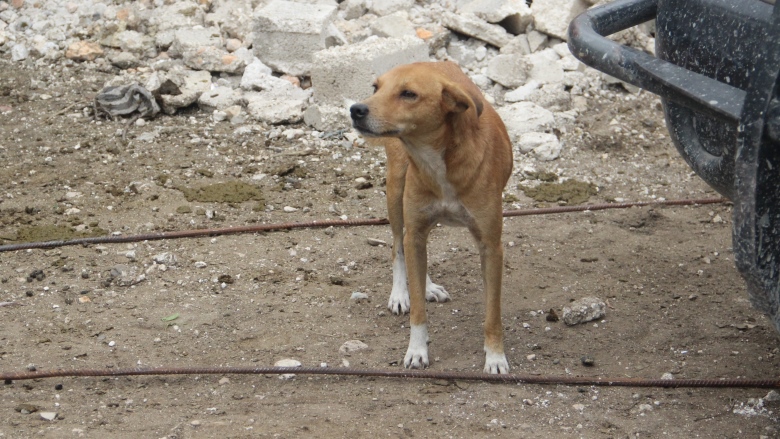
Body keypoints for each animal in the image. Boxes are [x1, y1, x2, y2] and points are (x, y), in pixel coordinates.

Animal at [352, 62, 512, 374]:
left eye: (409, 94)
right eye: (376, 88)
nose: (356, 109)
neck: (436, 159)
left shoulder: (491, 246)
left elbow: (493, 311)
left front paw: (495, 356)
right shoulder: (415, 226)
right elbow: (417, 309)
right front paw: (416, 350)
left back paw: (426, 285)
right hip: (396, 193)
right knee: (398, 244)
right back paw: (400, 294)